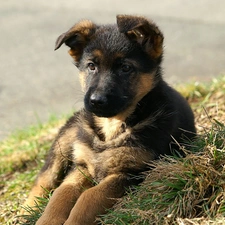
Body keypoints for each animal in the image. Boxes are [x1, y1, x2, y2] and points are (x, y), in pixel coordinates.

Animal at [23, 14, 195, 224]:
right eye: (91, 66)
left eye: (125, 68)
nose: (96, 101)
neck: (112, 126)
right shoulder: (81, 166)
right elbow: (62, 193)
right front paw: (47, 219)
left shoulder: (130, 172)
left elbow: (89, 197)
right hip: (65, 141)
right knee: (45, 178)